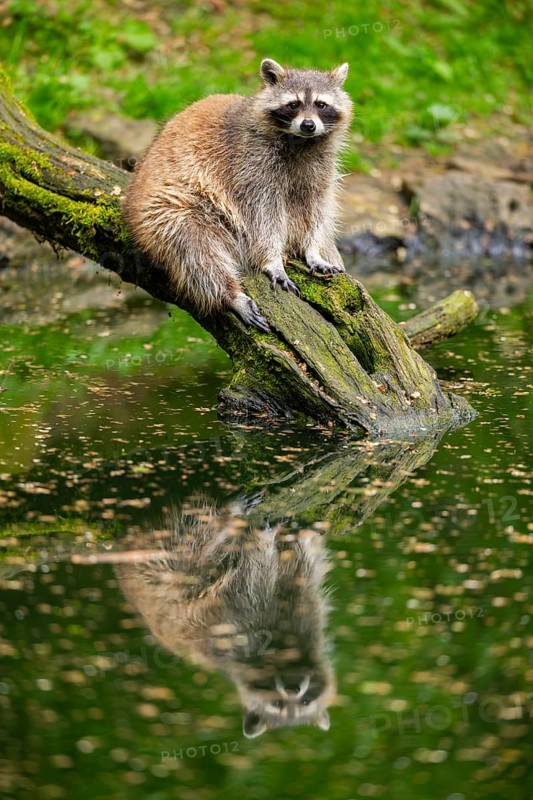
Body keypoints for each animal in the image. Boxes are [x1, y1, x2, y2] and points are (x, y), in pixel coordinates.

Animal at [115, 501, 336, 738]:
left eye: (306, 701)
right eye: (277, 704)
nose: (292, 689)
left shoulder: (306, 611)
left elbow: (303, 565)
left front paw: (300, 539)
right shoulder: (237, 619)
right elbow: (254, 574)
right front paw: (265, 543)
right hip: (157, 565)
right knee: (189, 554)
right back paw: (225, 521)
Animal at [123, 59, 353, 332]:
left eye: (321, 104)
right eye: (293, 104)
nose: (308, 125)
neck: (300, 142)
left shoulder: (320, 170)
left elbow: (317, 210)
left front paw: (313, 251)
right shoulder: (250, 165)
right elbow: (262, 217)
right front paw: (272, 260)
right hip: (169, 210)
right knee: (194, 249)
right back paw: (230, 293)